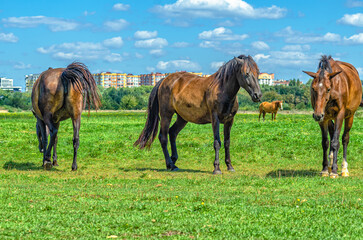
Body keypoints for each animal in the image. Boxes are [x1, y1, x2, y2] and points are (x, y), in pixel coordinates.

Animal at [135, 55, 264, 173]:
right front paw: (216, 168)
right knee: (163, 137)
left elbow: (227, 142)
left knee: (172, 133)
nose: (257, 95)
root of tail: (164, 80)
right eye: (246, 73)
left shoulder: (229, 121)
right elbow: (217, 142)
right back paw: (170, 164)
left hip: (182, 118)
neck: (222, 90)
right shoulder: (215, 119)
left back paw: (173, 162)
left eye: (257, 73)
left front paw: (230, 166)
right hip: (166, 114)